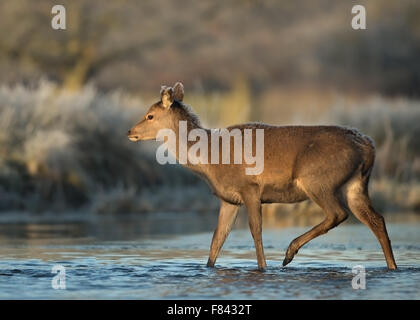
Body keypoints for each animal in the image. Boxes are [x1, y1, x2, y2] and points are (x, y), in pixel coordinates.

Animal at [127, 82, 398, 270]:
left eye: (150, 115)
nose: (130, 131)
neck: (209, 160)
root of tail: (368, 146)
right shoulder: (228, 199)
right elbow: (217, 239)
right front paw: (208, 268)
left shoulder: (250, 188)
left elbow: (255, 230)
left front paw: (263, 267)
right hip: (356, 184)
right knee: (376, 219)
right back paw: (392, 267)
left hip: (318, 179)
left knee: (338, 214)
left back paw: (289, 254)